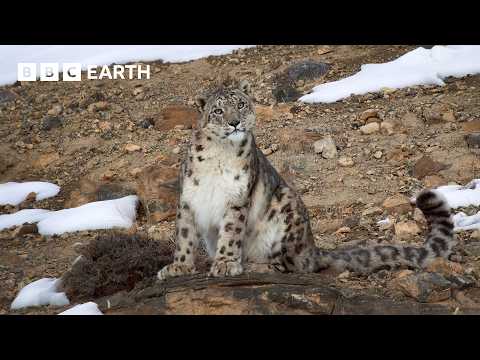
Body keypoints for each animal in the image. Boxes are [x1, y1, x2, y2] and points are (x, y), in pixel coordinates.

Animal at [157, 79, 454, 278]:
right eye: (218, 111)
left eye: (240, 104)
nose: (234, 122)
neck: (220, 154)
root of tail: (311, 246)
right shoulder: (188, 197)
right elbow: (184, 234)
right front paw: (178, 267)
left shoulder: (237, 197)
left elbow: (231, 231)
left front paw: (226, 263)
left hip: (285, 208)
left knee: (292, 264)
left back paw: (257, 264)